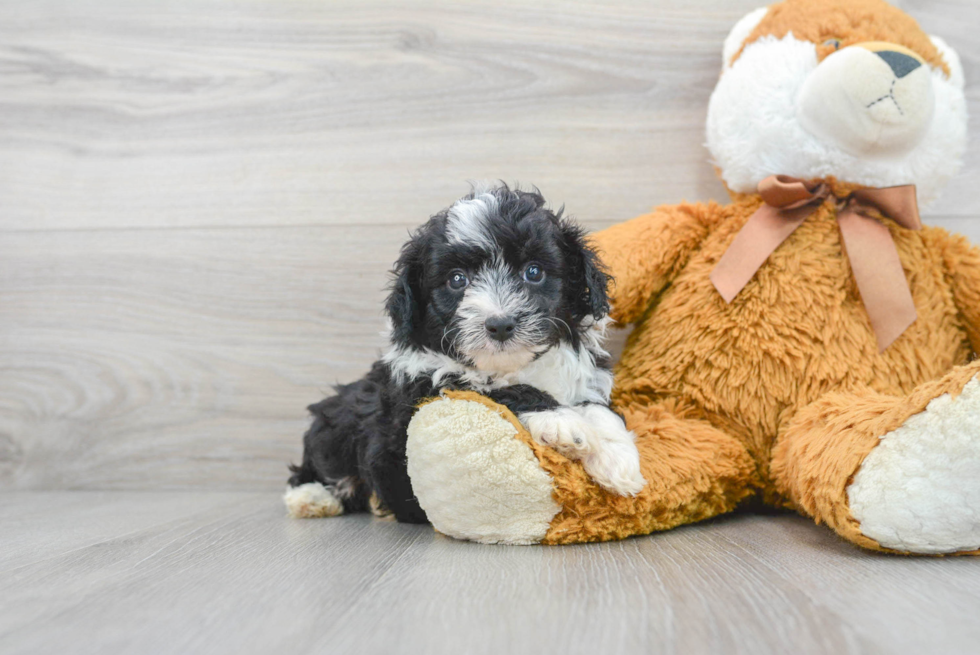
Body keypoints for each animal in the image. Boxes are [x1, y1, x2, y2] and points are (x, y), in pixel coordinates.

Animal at [288, 183, 648, 524]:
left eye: (533, 272)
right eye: (457, 279)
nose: (500, 324)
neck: (513, 365)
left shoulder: (586, 374)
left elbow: (599, 408)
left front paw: (618, 460)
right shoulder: (425, 389)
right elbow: (494, 389)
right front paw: (562, 422)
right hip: (336, 422)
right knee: (320, 466)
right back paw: (311, 498)